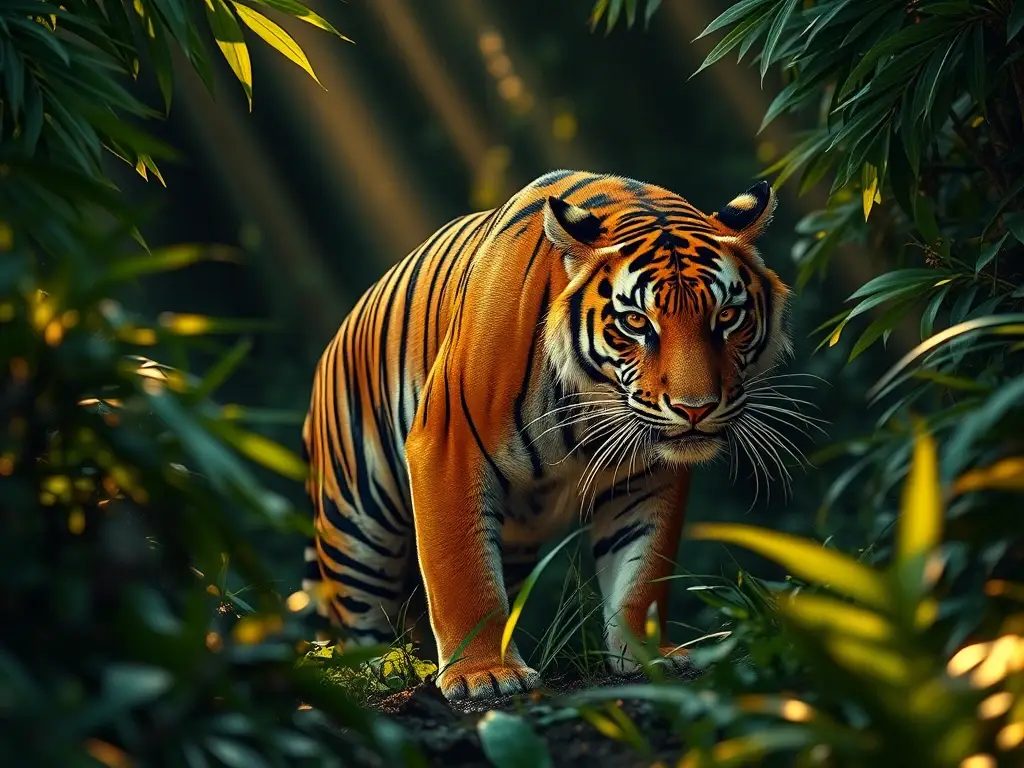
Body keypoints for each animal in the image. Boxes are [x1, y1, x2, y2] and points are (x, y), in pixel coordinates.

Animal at [301, 169, 792, 701]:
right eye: (636, 322)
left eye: (727, 316)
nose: (694, 409)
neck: (593, 405)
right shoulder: (447, 447)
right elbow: (462, 574)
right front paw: (484, 675)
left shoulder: (649, 475)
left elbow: (642, 572)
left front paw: (648, 656)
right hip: (356, 524)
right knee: (358, 611)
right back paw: (384, 670)